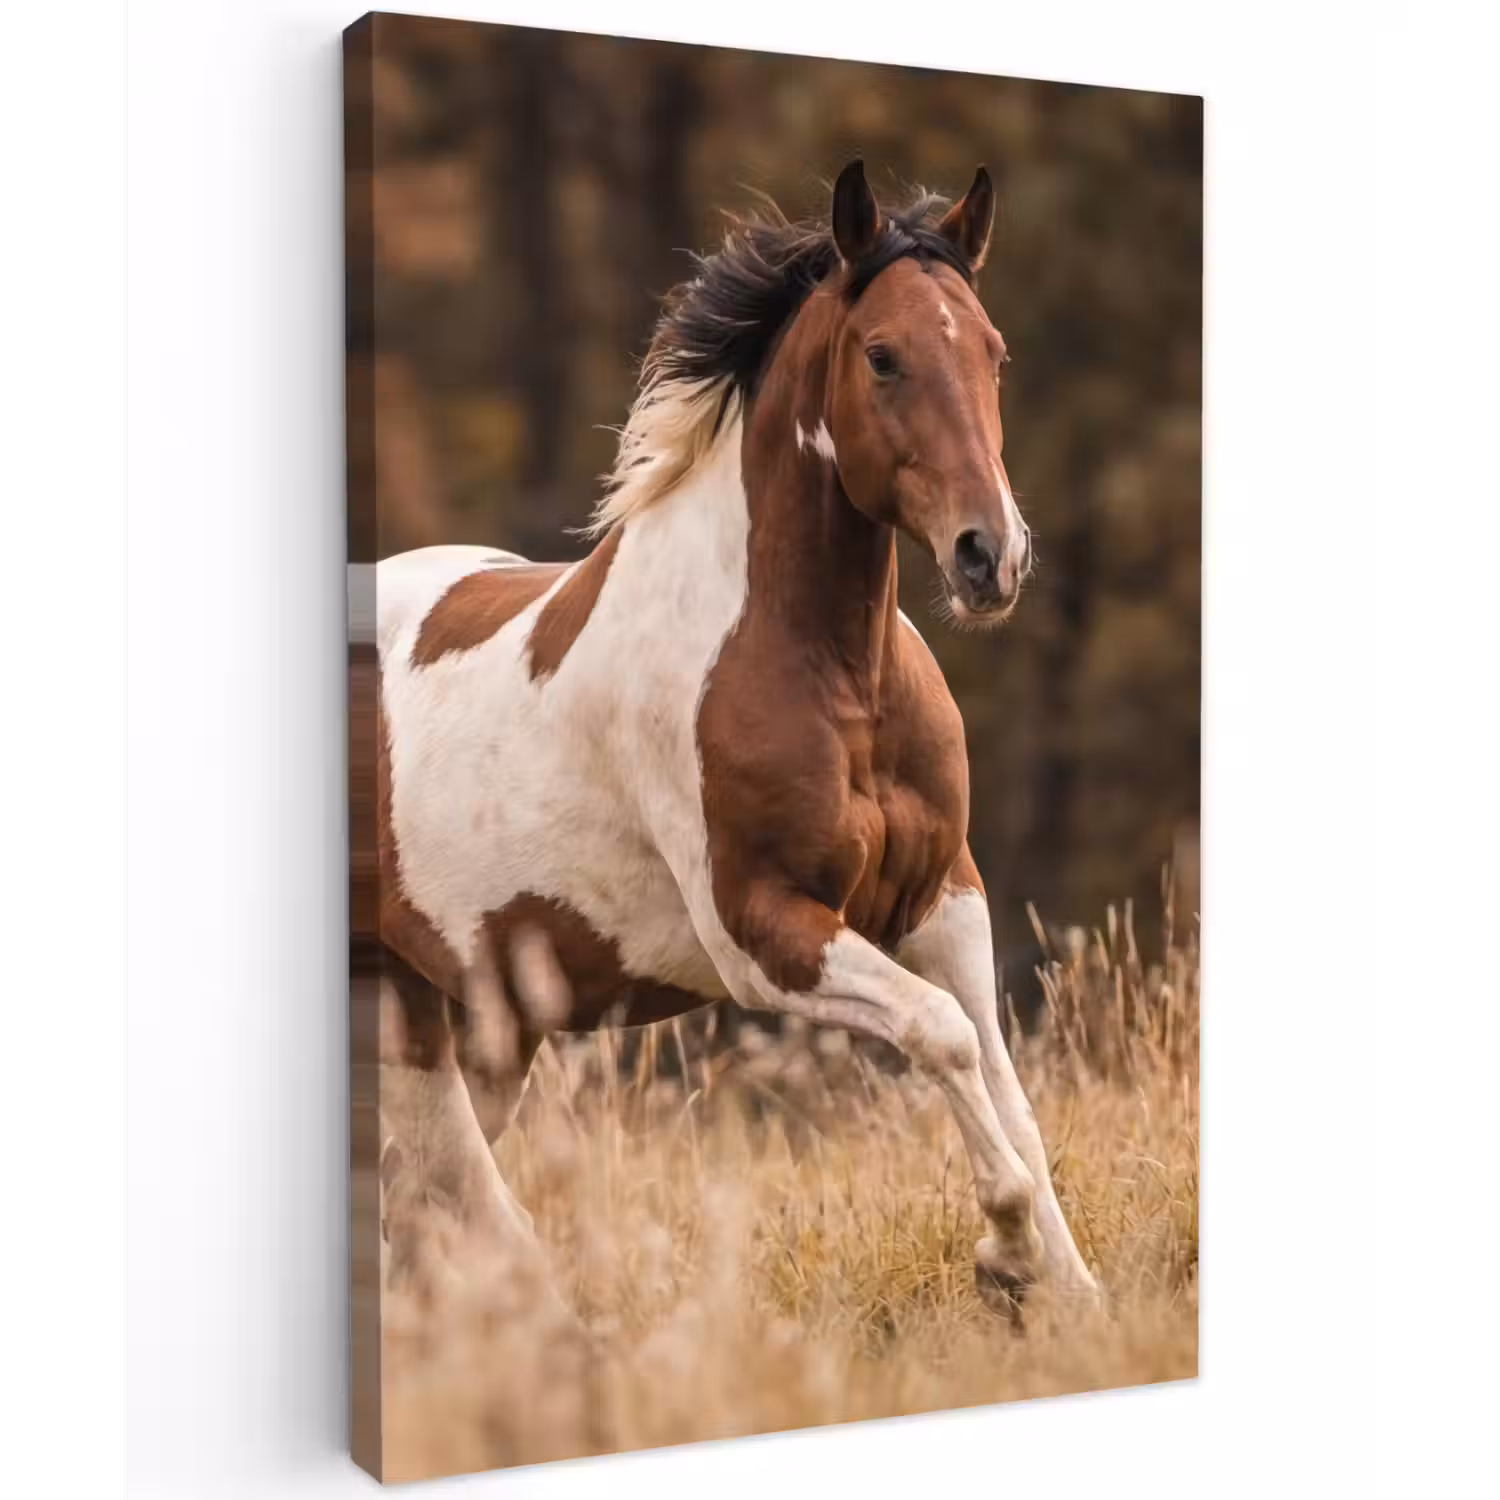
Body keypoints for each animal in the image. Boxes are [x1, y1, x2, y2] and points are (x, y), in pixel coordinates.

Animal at [370, 160, 1100, 1316]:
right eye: (882, 355)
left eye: (993, 350)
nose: (991, 556)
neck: (829, 674)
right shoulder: (763, 934)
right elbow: (939, 1033)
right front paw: (1007, 1249)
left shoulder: (945, 899)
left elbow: (1000, 1077)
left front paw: (1072, 1294)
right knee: (455, 1203)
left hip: (475, 1016)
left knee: (434, 1206)